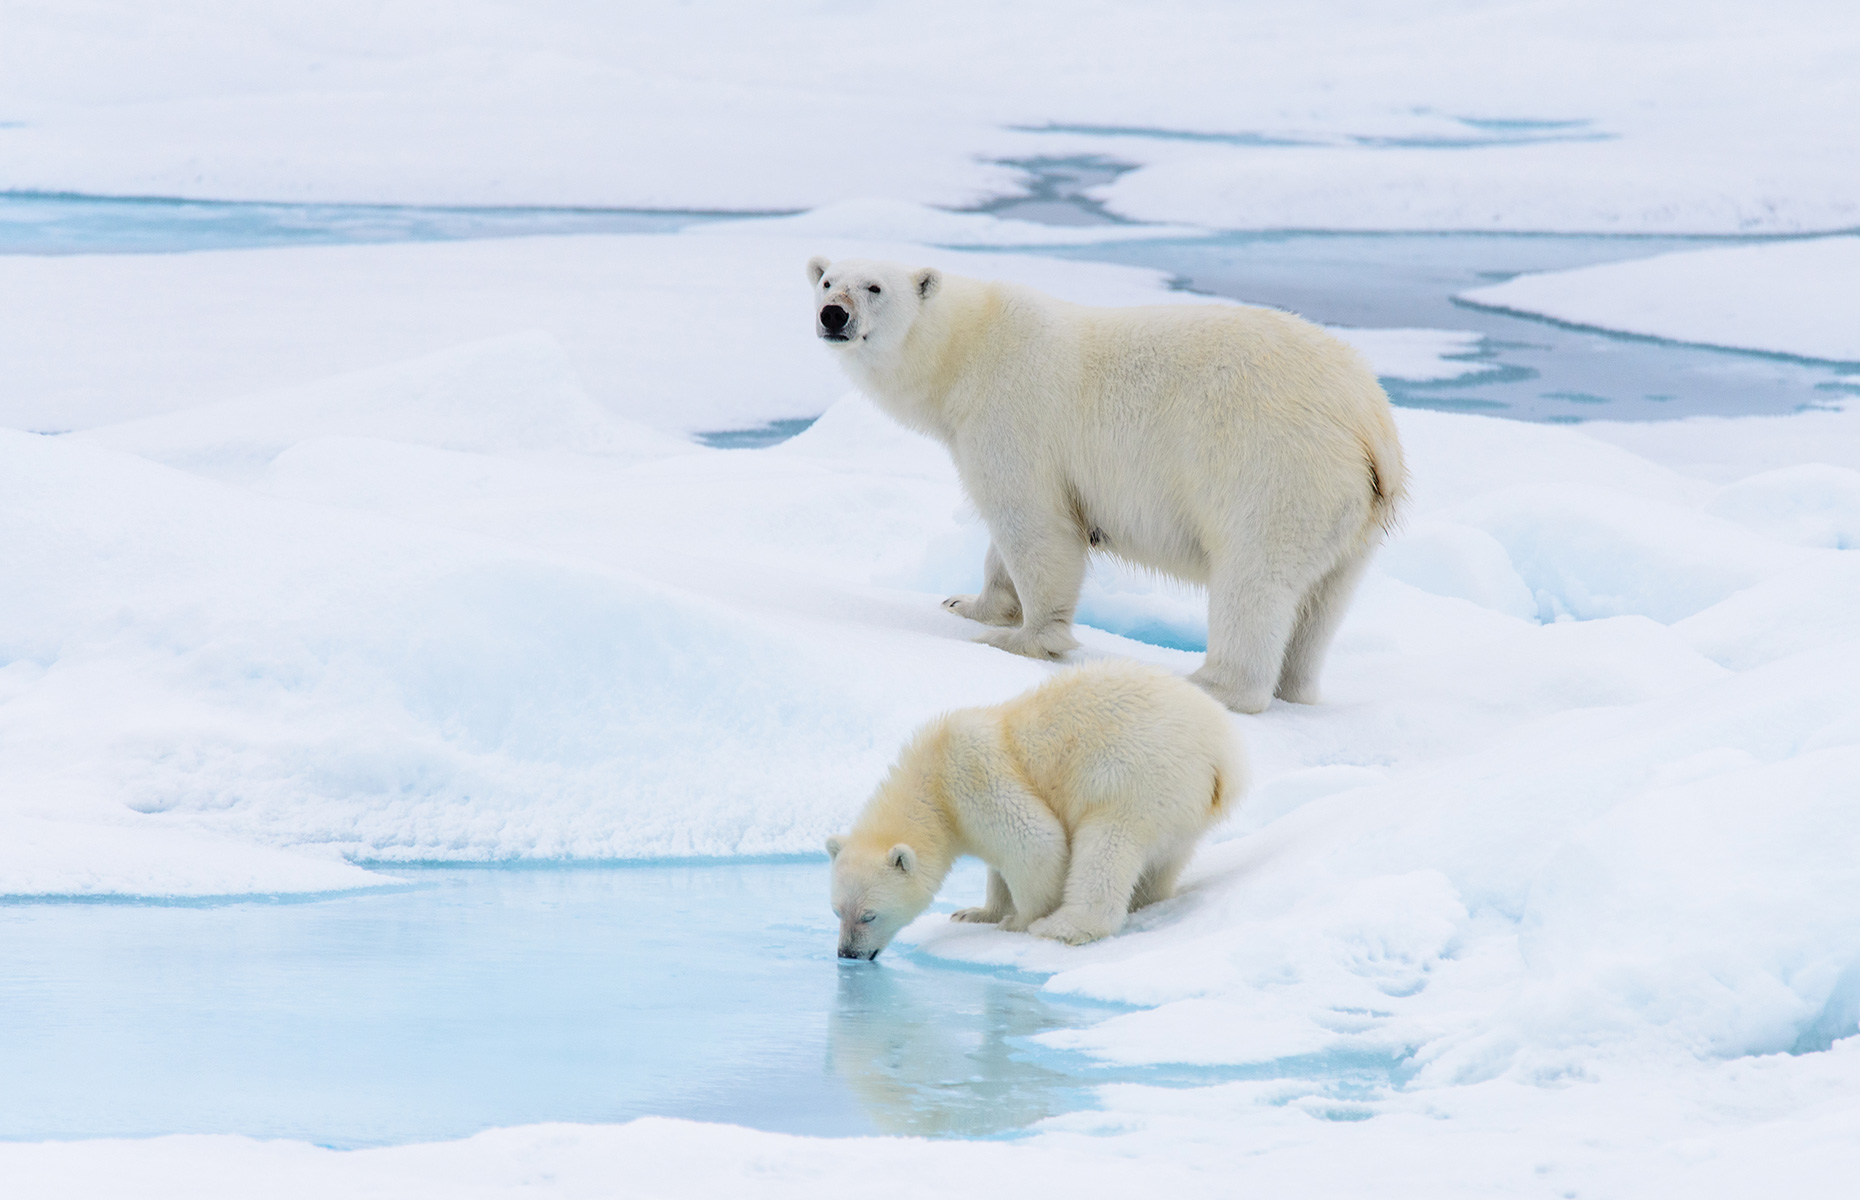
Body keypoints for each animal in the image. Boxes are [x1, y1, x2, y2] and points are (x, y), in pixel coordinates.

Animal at [807, 256, 1398, 710]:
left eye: (874, 286)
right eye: (827, 280)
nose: (832, 315)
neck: (968, 349)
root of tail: (1370, 422)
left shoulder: (1013, 414)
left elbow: (1035, 524)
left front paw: (1019, 638)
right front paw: (967, 604)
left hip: (1275, 471)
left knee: (1255, 580)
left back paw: (1211, 684)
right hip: (1353, 516)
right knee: (1323, 602)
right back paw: (1294, 687)